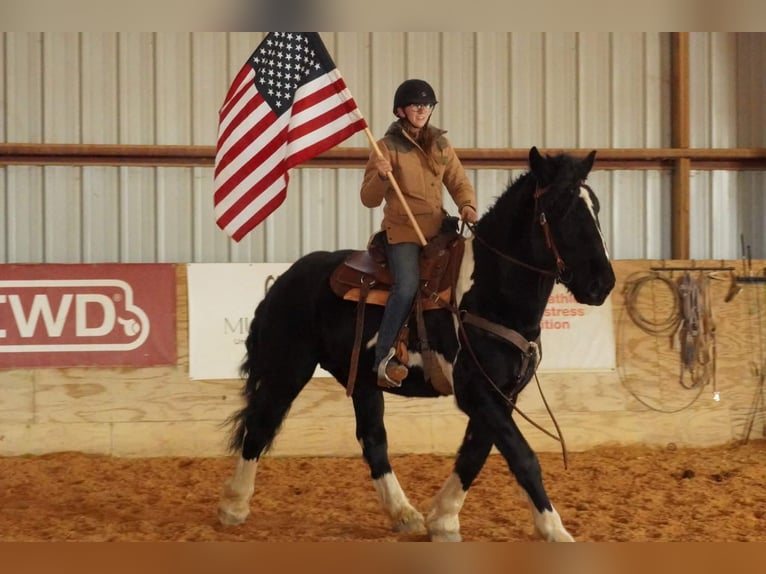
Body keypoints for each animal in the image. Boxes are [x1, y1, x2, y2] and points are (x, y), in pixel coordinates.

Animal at [217, 146, 616, 542]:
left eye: (596, 207)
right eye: (560, 207)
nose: (603, 282)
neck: (489, 293)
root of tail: (284, 279)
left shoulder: (501, 394)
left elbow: (475, 452)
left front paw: (443, 518)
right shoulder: (477, 391)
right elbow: (522, 455)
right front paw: (554, 528)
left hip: (363, 381)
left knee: (373, 440)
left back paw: (404, 514)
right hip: (288, 369)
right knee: (260, 426)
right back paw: (234, 506)